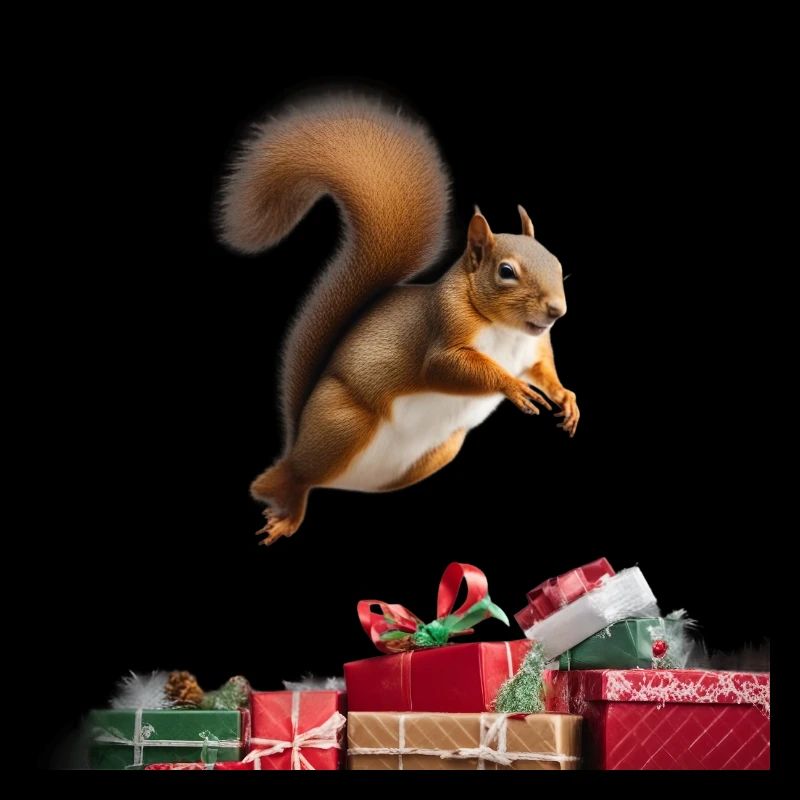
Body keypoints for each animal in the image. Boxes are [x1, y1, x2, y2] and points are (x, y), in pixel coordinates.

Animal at [219, 95, 579, 544]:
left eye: (557, 262)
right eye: (506, 271)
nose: (557, 310)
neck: (506, 331)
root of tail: (297, 445)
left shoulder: (535, 350)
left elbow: (544, 372)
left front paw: (567, 399)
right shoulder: (442, 329)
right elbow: (446, 367)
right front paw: (511, 386)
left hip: (438, 451)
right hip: (343, 424)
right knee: (301, 477)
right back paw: (288, 508)